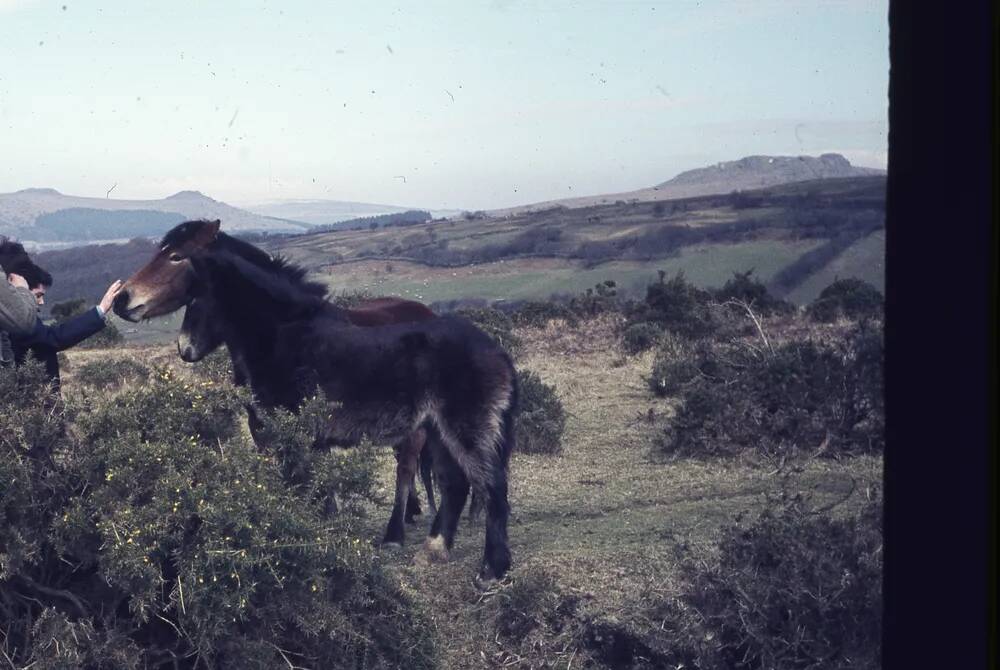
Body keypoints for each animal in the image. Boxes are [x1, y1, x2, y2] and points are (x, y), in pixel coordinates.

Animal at [117, 222, 520, 588]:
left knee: (492, 488)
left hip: (464, 429)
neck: (281, 333)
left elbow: (297, 493)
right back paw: (434, 551)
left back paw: (490, 570)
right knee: (455, 484)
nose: (122, 300)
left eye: (175, 256)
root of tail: (496, 350)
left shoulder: (291, 436)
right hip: (436, 430)